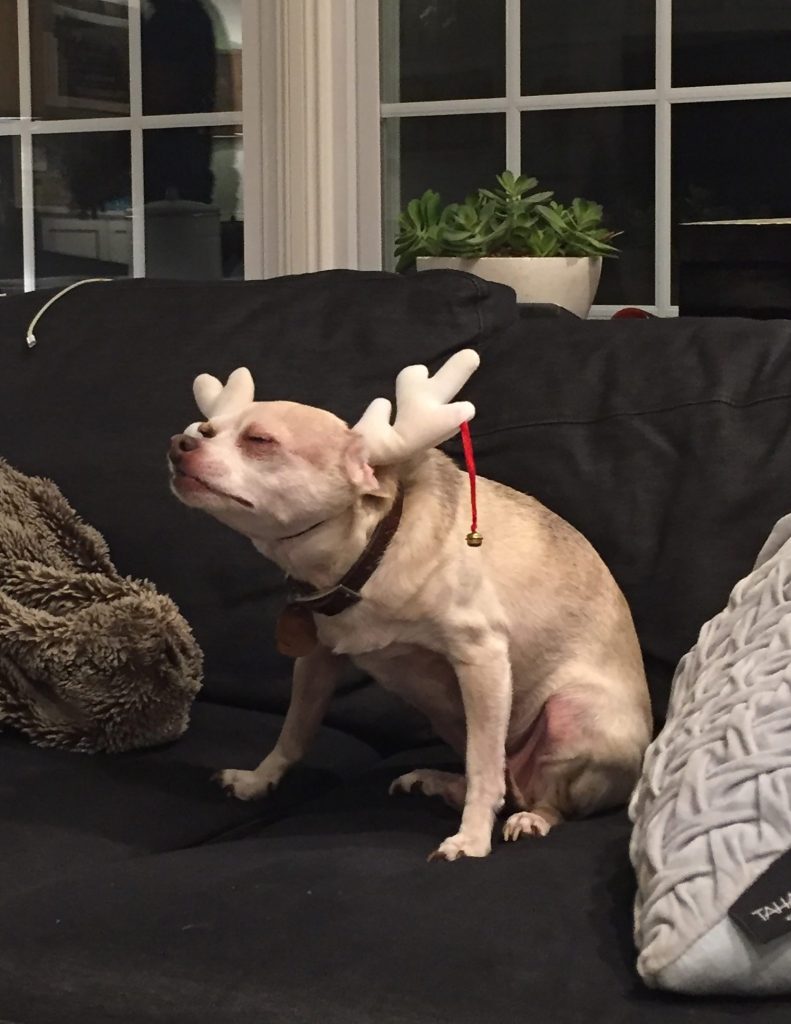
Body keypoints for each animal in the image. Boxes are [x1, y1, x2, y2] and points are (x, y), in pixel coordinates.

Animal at [170, 356, 651, 860]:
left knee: (544, 798)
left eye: (259, 441)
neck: (367, 555)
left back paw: (529, 818)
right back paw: (440, 783)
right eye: (206, 429)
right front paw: (257, 780)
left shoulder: (481, 660)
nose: (180, 443)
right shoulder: (317, 658)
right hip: (448, 716)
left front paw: (471, 839)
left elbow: (483, 766)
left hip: (571, 716)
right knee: (504, 778)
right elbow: (295, 731)